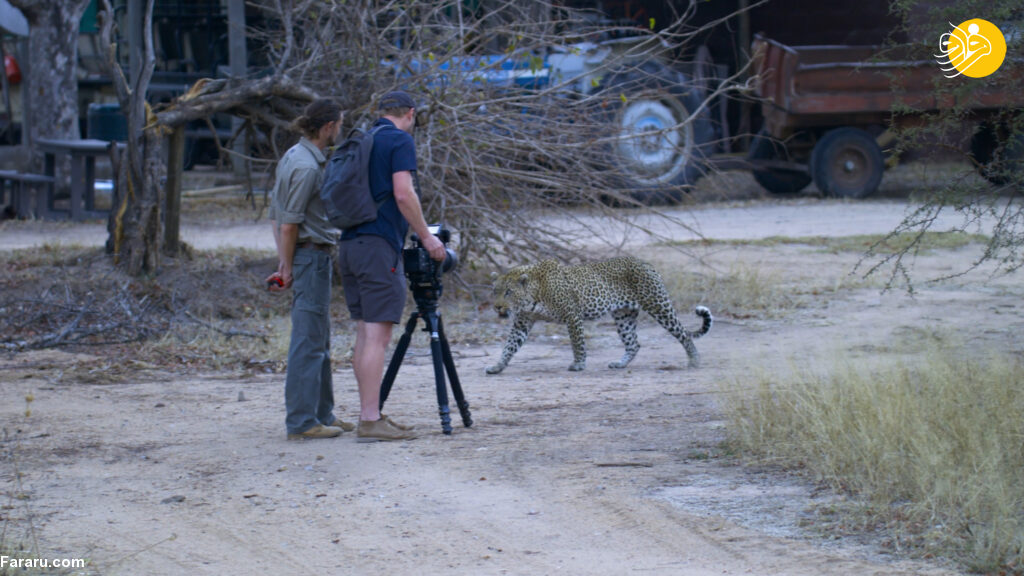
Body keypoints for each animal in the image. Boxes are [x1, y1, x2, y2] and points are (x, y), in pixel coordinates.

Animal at [485, 254, 712, 373]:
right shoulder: (522, 323)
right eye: (495, 291)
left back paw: (694, 360)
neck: (533, 295)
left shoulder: (572, 315)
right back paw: (620, 364)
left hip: (657, 304)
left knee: (683, 333)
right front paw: (497, 366)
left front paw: (578, 364)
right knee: (633, 343)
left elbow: (577, 343)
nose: (497, 307)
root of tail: (645, 262)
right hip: (623, 315)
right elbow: (510, 346)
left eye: (508, 292)